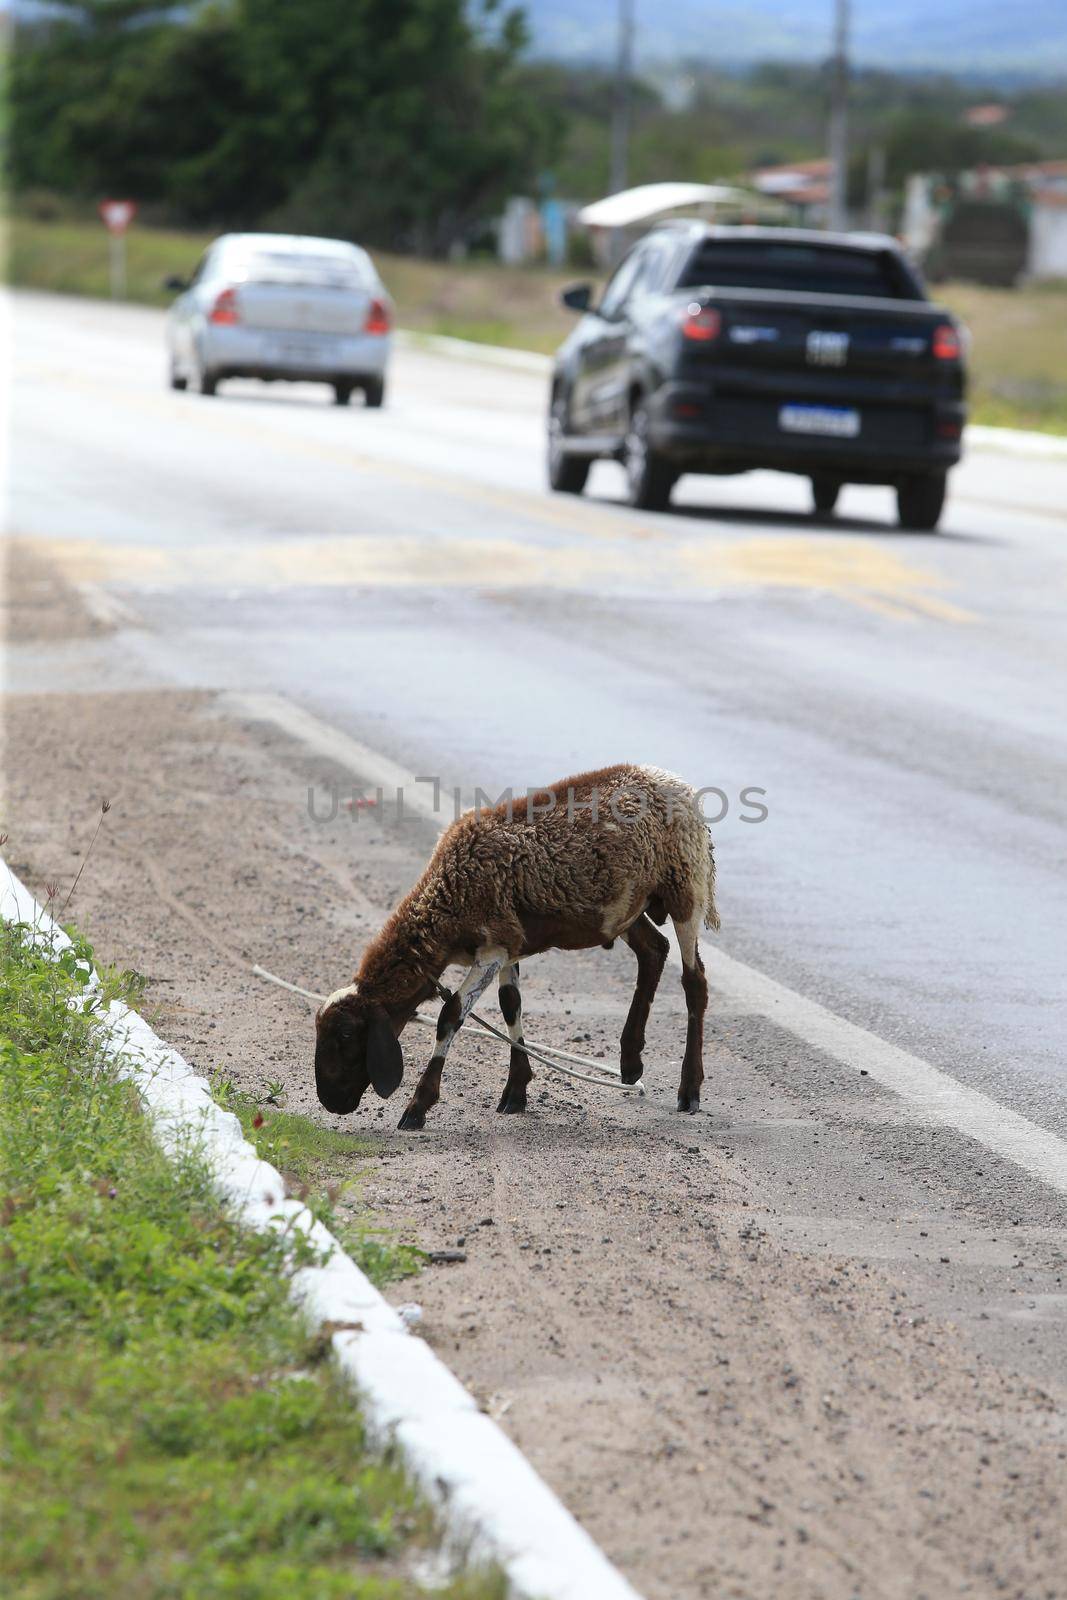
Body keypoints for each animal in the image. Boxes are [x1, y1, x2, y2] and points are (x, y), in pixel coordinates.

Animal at [313, 761, 723, 1126]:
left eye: (346, 1034)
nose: (330, 1102)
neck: (444, 902)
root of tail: (677, 782)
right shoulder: (509, 944)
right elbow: (511, 1005)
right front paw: (516, 1091)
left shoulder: (493, 945)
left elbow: (450, 1016)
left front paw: (417, 1107)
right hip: (627, 905)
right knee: (653, 951)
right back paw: (630, 1061)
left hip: (684, 884)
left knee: (694, 982)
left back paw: (689, 1090)